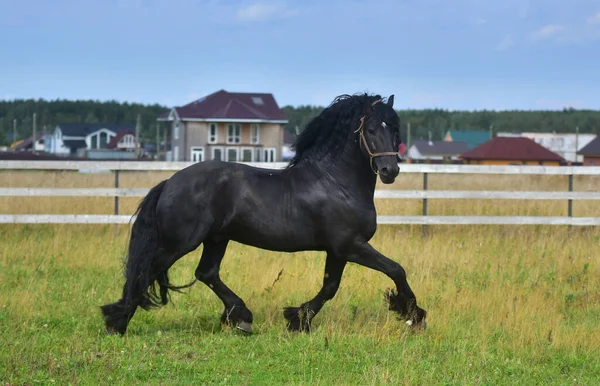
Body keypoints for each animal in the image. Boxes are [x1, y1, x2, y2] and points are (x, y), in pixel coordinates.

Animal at [99, 92, 426, 334]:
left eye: (394, 129)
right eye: (370, 130)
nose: (390, 170)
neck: (336, 182)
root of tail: (170, 182)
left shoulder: (337, 250)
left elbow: (330, 287)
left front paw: (298, 319)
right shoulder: (350, 245)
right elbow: (396, 269)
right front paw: (414, 315)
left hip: (216, 239)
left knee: (206, 272)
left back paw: (241, 316)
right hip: (180, 242)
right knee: (147, 270)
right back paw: (117, 321)